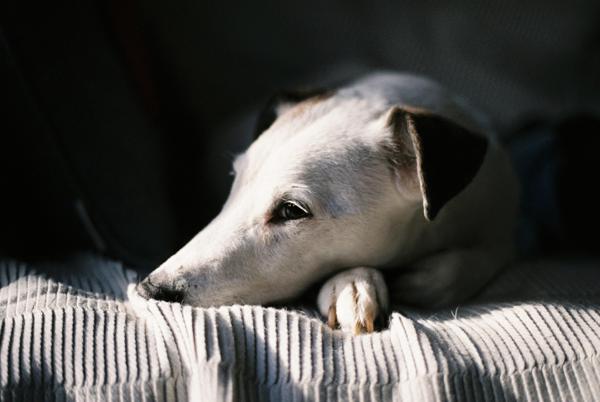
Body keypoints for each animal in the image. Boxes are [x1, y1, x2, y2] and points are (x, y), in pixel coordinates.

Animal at [138, 72, 518, 334]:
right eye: (236, 182)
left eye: (292, 210)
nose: (150, 289)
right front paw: (352, 286)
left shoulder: (499, 222)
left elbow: (460, 268)